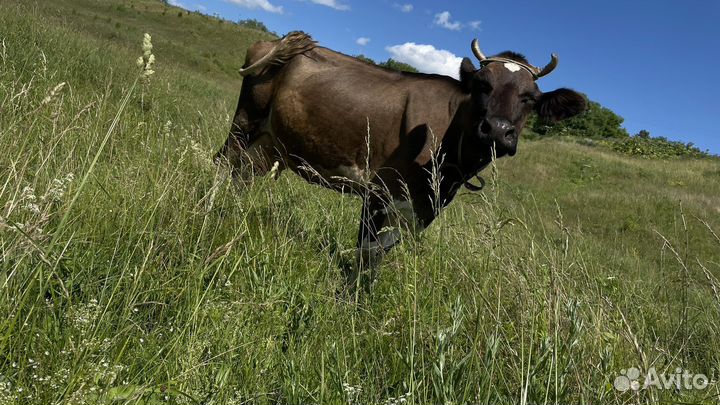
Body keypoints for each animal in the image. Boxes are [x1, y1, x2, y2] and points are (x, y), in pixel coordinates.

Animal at [214, 31, 586, 290]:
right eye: (483, 84)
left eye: (531, 98)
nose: (496, 129)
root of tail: (276, 41)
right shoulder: (380, 191)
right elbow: (368, 250)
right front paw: (351, 300)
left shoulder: (422, 209)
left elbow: (384, 250)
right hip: (246, 122)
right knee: (225, 163)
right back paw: (212, 214)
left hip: (270, 142)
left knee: (244, 174)